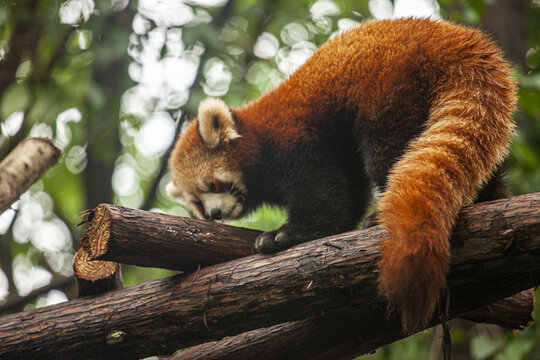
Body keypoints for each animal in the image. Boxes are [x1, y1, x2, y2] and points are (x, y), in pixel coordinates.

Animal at [167, 18, 516, 330]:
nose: (215, 213)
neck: (257, 137)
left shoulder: (296, 142)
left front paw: (284, 236)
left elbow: (321, 191)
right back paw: (491, 196)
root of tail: (455, 39)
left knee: (388, 155)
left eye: (213, 184)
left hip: (393, 88)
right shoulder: (338, 150)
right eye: (198, 203)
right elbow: (348, 193)